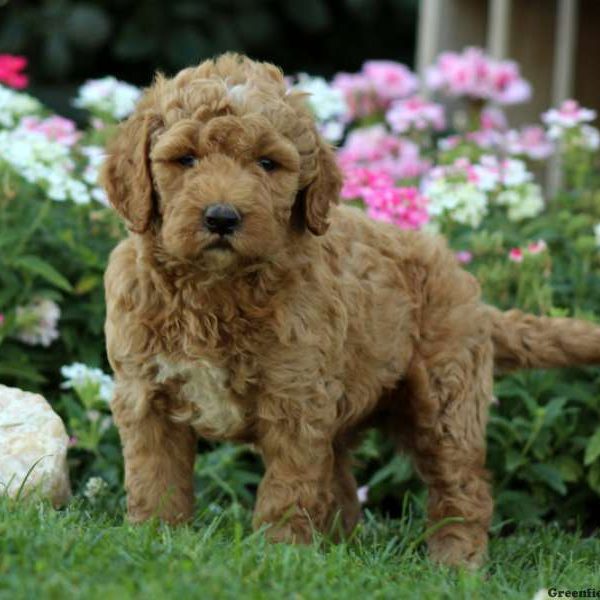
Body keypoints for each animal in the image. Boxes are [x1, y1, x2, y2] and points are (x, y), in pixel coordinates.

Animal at [103, 52, 600, 568]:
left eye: (267, 163)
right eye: (185, 159)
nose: (222, 217)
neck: (215, 289)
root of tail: (470, 292)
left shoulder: (295, 398)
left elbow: (288, 487)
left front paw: (278, 556)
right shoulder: (145, 393)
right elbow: (155, 477)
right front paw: (155, 539)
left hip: (445, 394)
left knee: (462, 483)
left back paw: (456, 562)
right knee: (341, 483)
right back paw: (338, 553)